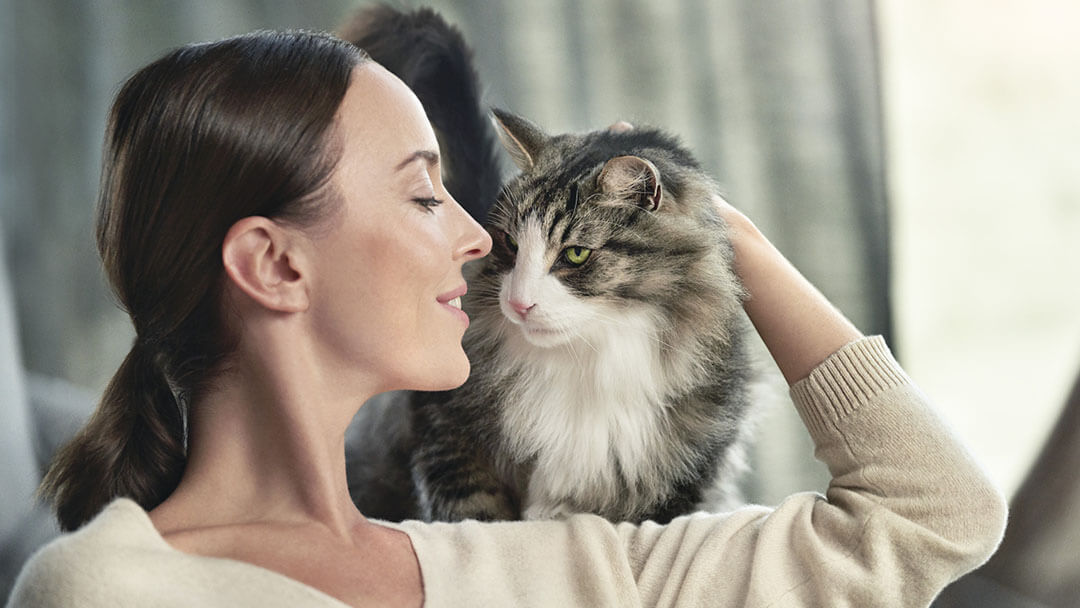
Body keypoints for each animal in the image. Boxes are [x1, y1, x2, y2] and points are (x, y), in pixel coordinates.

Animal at [341, 7, 756, 524]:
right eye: (510, 245)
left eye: (575, 254)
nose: (519, 304)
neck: (587, 362)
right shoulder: (445, 431)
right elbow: (477, 518)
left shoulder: (679, 480)